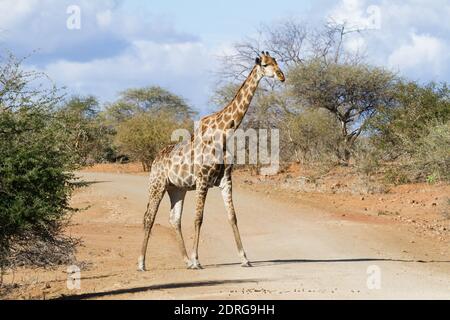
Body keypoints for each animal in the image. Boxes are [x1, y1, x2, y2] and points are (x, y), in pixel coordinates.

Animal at [137, 51, 284, 272]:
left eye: (277, 62)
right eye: (265, 65)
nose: (282, 76)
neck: (224, 132)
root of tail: (155, 160)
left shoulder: (226, 180)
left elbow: (232, 217)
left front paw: (244, 259)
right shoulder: (202, 180)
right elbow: (198, 218)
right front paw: (197, 260)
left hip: (176, 188)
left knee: (174, 219)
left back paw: (185, 260)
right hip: (157, 185)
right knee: (149, 217)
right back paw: (142, 262)